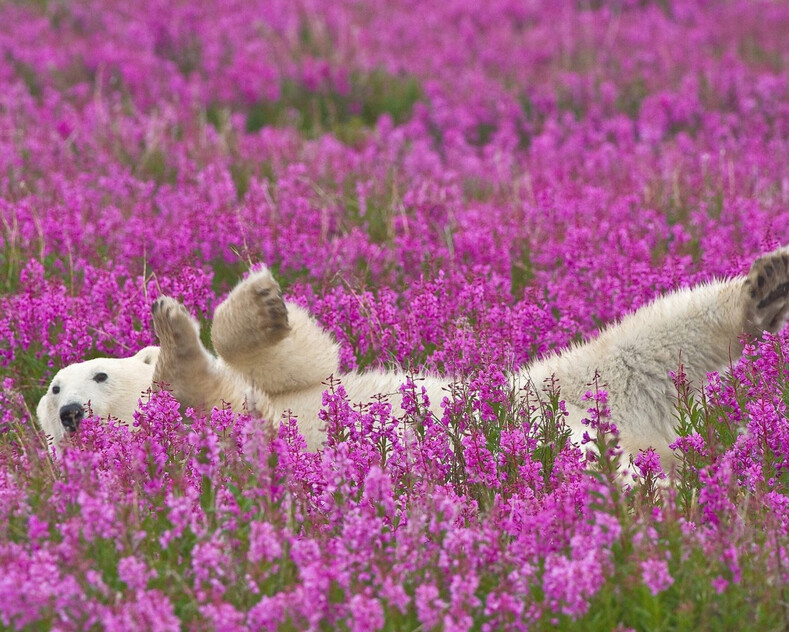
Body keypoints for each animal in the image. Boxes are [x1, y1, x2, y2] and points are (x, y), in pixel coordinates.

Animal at [38, 247, 789, 464]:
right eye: (52, 394)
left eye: (92, 374)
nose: (72, 412)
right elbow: (211, 400)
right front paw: (175, 343)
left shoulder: (286, 389)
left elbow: (304, 362)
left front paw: (251, 304)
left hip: (553, 387)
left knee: (648, 339)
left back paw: (765, 287)